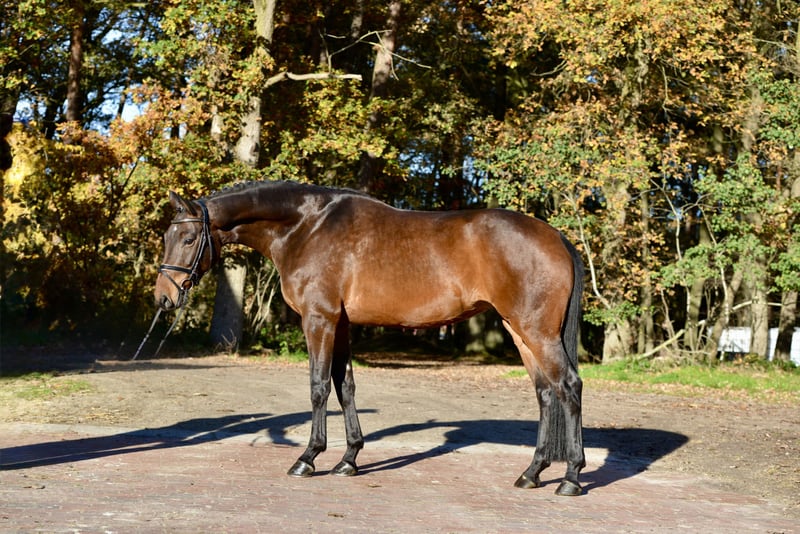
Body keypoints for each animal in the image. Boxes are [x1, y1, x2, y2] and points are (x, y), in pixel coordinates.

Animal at [153, 180, 586, 496]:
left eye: (189, 240)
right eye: (166, 239)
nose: (164, 297)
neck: (306, 227)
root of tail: (558, 238)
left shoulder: (320, 320)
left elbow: (318, 387)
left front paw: (308, 458)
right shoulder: (342, 324)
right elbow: (344, 387)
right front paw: (349, 459)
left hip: (537, 331)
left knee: (568, 386)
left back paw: (571, 478)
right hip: (519, 331)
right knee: (545, 393)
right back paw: (532, 472)